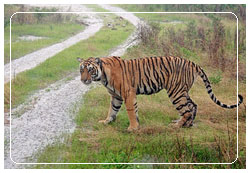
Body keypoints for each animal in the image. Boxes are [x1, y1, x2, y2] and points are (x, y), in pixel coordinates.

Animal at [77, 56, 243, 132]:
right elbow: (112, 110)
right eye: (81, 69)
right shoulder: (116, 96)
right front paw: (107, 122)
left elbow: (130, 111)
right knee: (193, 105)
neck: (103, 76)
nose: (83, 80)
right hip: (182, 91)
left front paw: (132, 128)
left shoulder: (128, 93)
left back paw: (177, 126)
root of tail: (192, 62)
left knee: (187, 110)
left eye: (90, 70)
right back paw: (186, 124)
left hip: (176, 92)